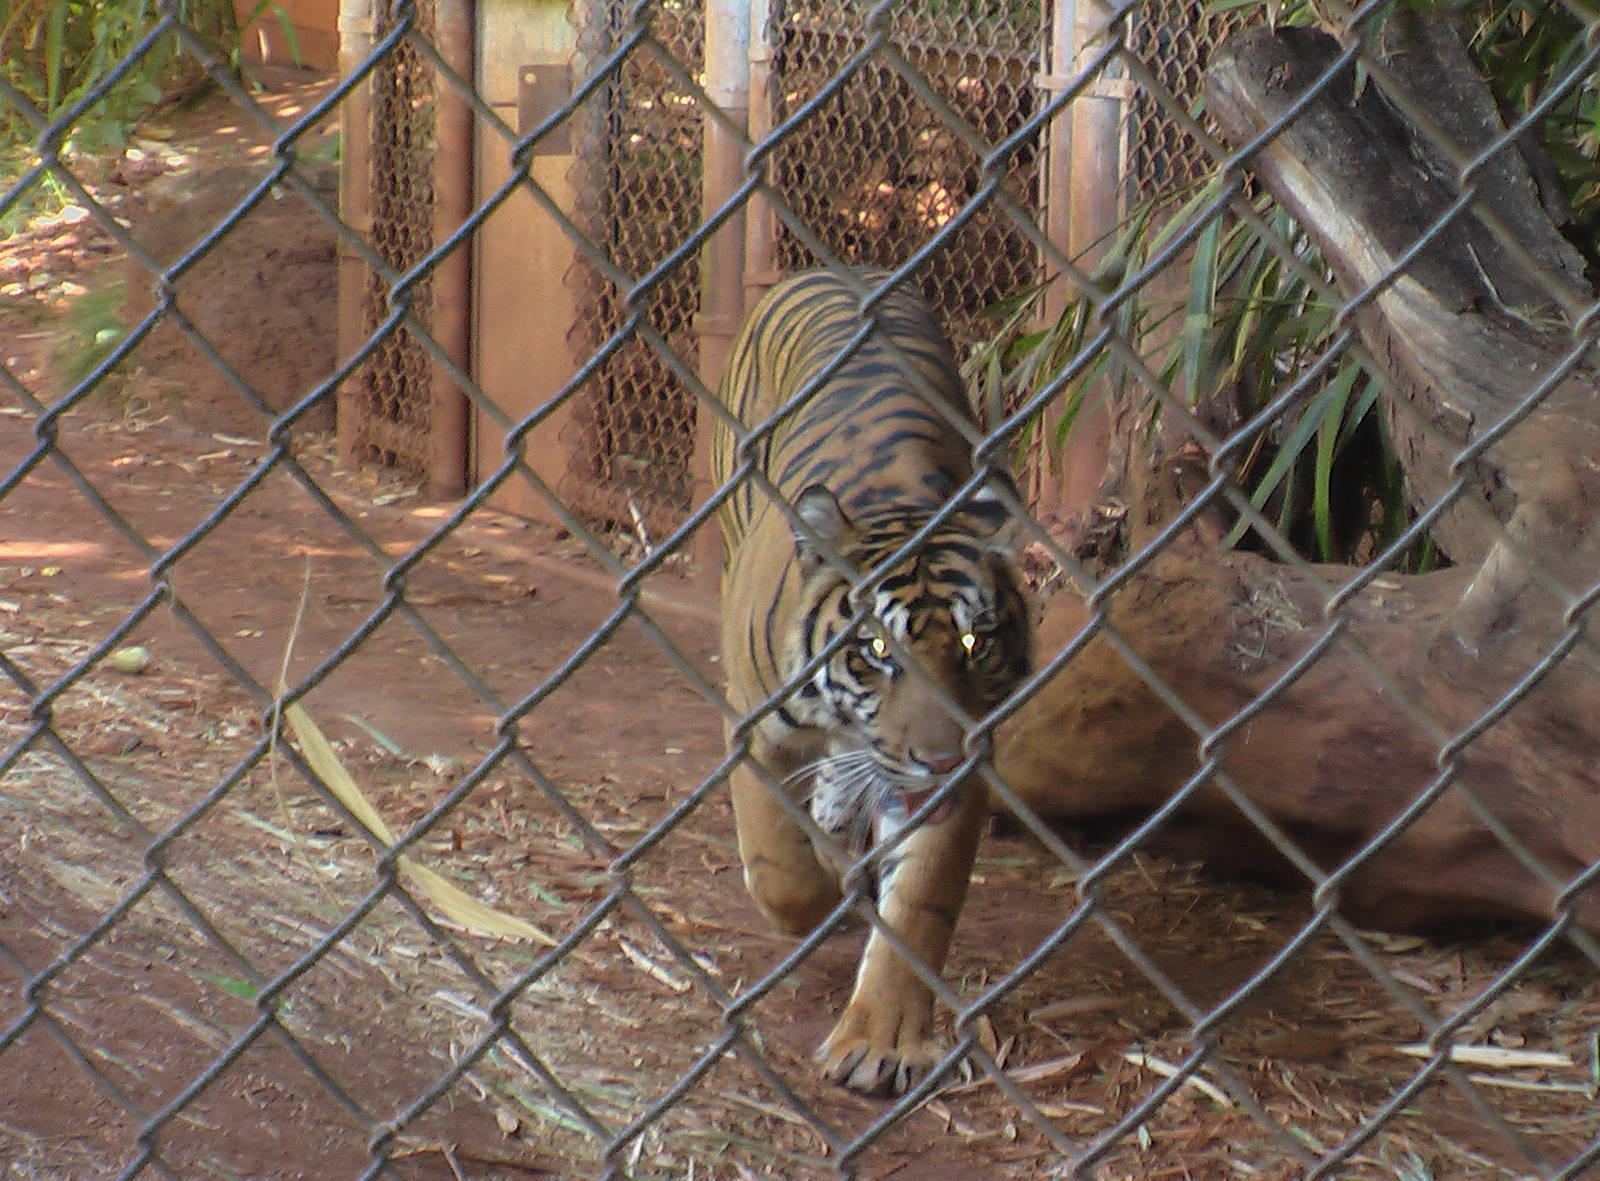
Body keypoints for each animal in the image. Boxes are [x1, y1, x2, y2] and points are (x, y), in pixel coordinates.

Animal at [712, 267, 1033, 1095]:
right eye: (880, 649)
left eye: (974, 641)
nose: (940, 759)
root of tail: (833, 268)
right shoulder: (754, 724)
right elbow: (781, 865)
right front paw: (825, 890)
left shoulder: (966, 770)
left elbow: (919, 905)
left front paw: (882, 1042)